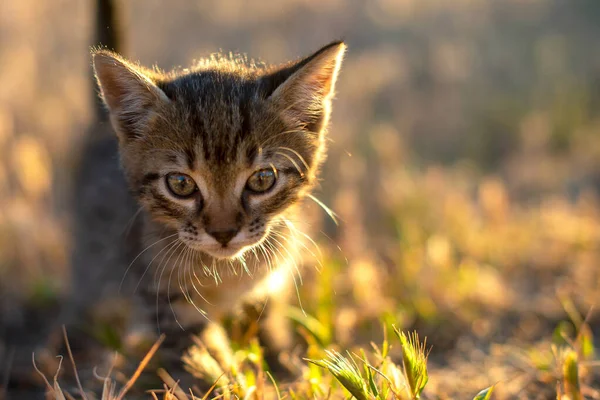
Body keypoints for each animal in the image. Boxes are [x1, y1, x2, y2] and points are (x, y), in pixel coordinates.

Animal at [68, 39, 344, 382]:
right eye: (180, 184)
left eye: (262, 179)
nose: (223, 233)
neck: (225, 271)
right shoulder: (160, 291)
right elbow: (193, 347)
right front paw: (217, 381)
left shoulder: (273, 274)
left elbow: (265, 313)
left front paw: (282, 361)